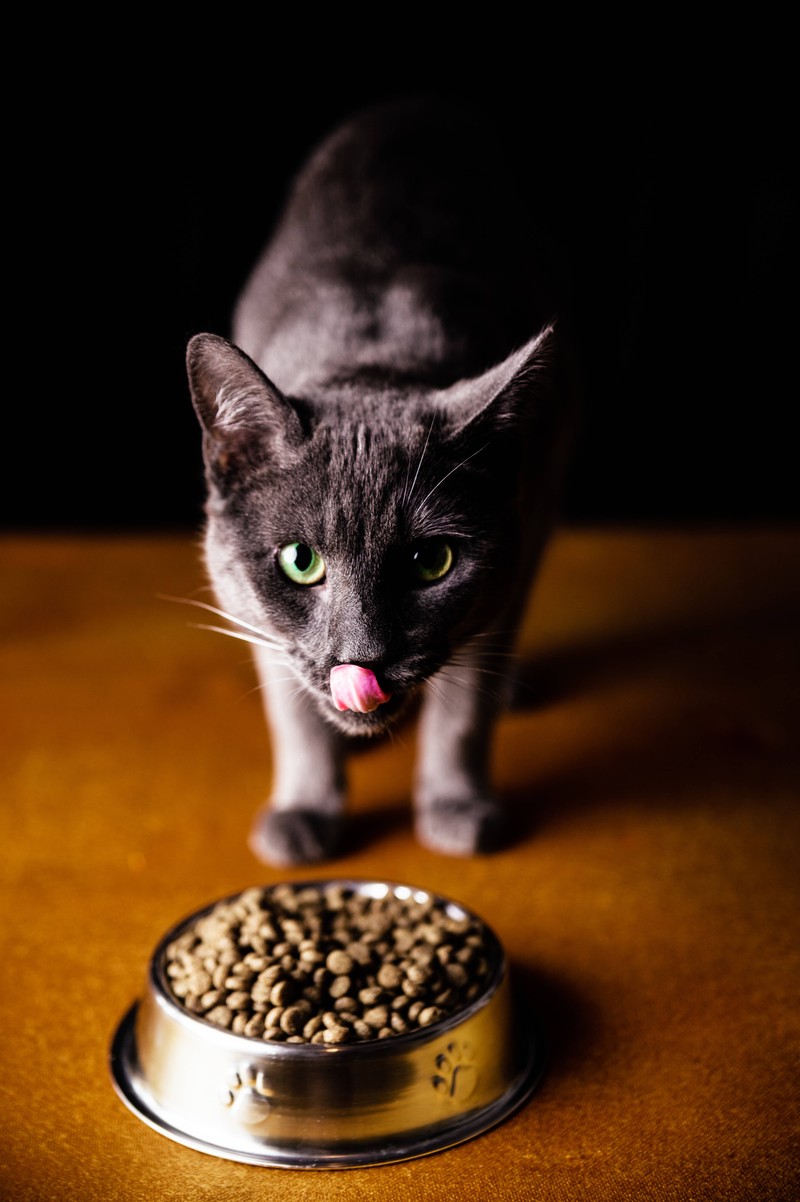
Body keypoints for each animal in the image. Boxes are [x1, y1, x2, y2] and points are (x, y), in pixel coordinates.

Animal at [184, 93, 576, 865]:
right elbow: (290, 713)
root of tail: (416, 104)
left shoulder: (510, 559)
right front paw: (304, 811)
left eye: (433, 561)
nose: (362, 658)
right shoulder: (249, 606)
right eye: (299, 561)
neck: (370, 361)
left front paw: (456, 807)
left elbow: (463, 712)